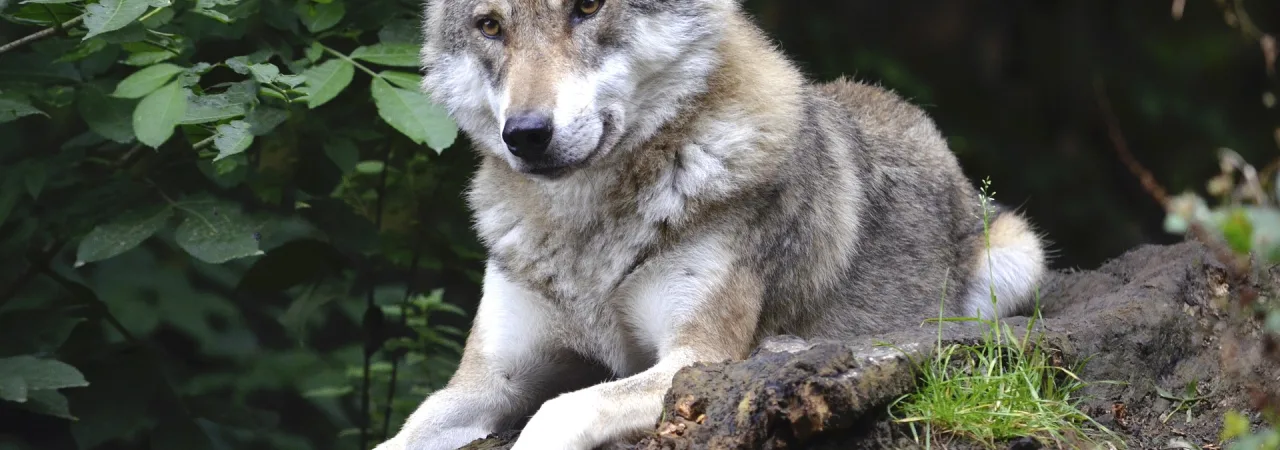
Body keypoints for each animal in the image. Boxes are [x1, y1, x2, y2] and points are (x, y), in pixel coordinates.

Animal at [377, 0, 1048, 448]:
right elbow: (399, 435)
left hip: (1016, 261)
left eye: (588, 6)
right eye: (490, 25)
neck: (585, 231)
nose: (526, 134)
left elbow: (558, 412)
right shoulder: (486, 384)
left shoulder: (696, 361)